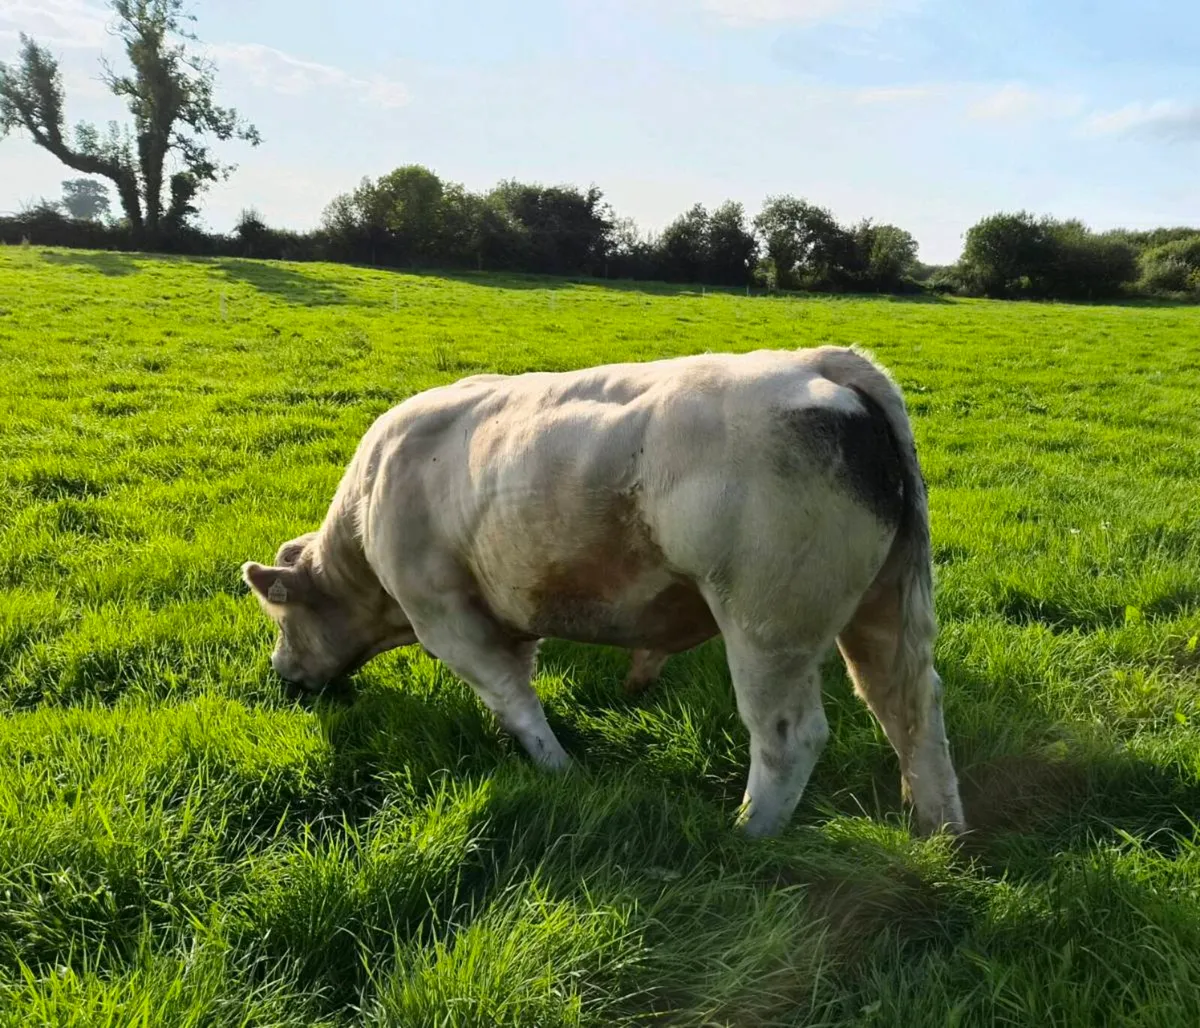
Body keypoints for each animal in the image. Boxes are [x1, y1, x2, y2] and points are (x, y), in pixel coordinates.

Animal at [242, 345, 965, 837]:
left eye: (282, 617)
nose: (283, 673)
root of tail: (817, 365)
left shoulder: (446, 618)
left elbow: (513, 699)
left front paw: (559, 771)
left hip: (769, 625)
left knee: (791, 735)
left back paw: (746, 837)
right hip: (883, 608)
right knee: (909, 705)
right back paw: (940, 830)